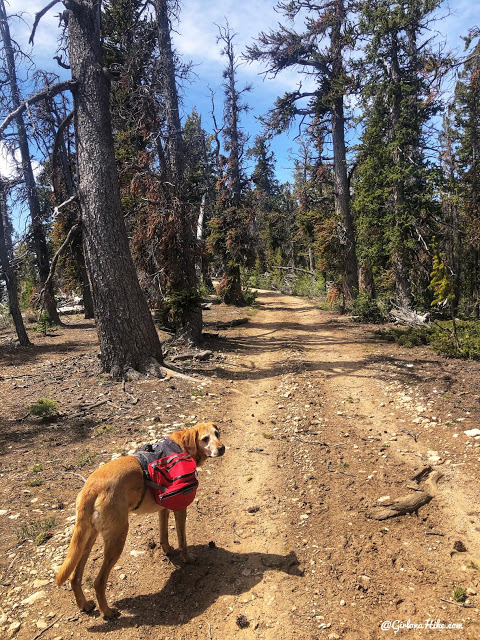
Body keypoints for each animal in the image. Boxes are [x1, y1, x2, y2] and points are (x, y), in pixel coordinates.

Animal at [57, 422, 226, 616]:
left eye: (217, 434)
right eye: (205, 439)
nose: (222, 448)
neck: (182, 446)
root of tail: (90, 487)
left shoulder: (163, 509)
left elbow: (164, 535)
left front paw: (167, 550)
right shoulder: (180, 509)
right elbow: (182, 540)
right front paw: (188, 558)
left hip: (87, 540)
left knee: (74, 577)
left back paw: (84, 604)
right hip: (117, 538)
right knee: (98, 582)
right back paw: (107, 612)